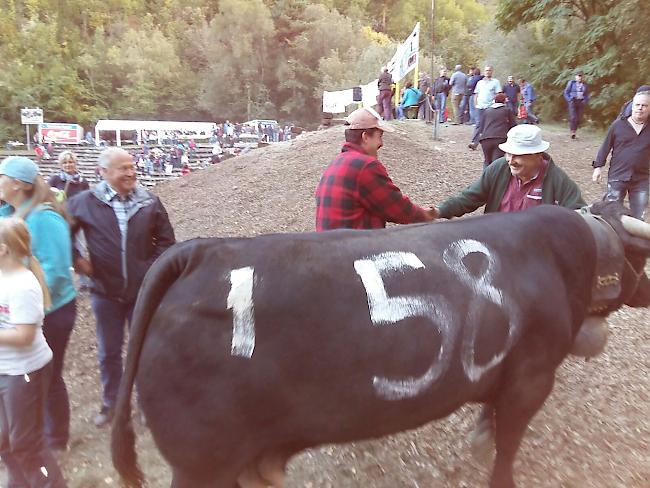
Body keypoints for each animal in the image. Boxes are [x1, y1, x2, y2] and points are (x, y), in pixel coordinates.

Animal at [110, 200, 648, 486]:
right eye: (640, 256)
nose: (646, 289)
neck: (560, 258)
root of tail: (200, 251)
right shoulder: (532, 377)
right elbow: (509, 441)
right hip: (201, 462)